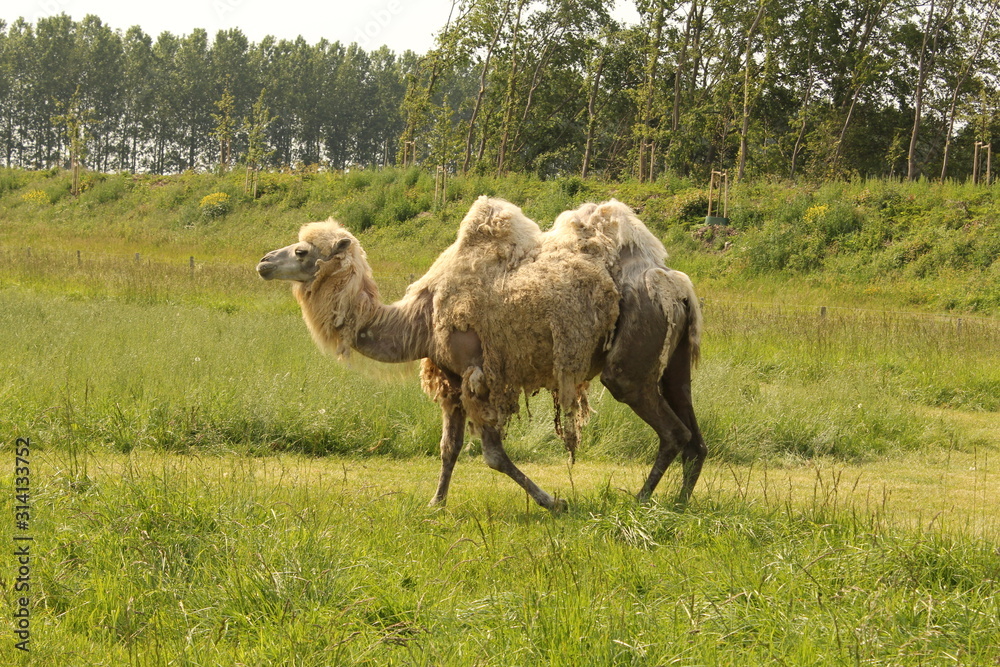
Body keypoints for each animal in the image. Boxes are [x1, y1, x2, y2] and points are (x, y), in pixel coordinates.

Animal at [256, 196, 706, 511]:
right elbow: (448, 447)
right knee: (692, 431)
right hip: (674, 361)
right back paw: (680, 503)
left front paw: (554, 502)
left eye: (301, 251)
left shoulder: (478, 375)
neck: (420, 318)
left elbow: (493, 455)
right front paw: (435, 503)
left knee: (671, 430)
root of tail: (679, 288)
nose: (263, 262)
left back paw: (642, 500)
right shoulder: (453, 380)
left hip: (631, 361)